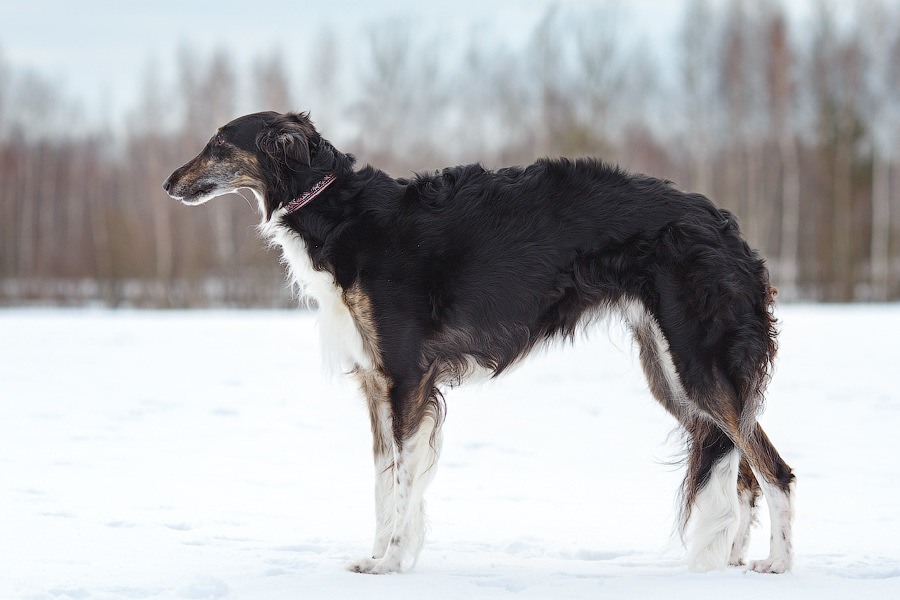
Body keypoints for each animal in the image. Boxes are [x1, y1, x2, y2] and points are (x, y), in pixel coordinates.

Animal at [163, 111, 794, 575]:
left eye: (219, 143)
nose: (169, 184)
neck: (340, 214)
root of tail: (728, 230)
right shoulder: (376, 382)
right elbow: (383, 481)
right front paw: (376, 556)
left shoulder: (405, 377)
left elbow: (399, 482)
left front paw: (389, 563)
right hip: (672, 374)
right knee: (743, 469)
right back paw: (734, 560)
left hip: (698, 366)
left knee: (774, 469)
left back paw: (779, 565)